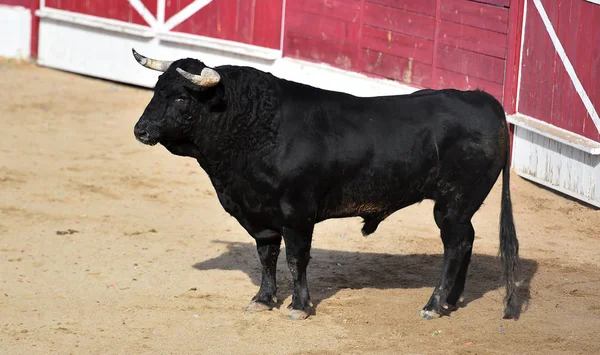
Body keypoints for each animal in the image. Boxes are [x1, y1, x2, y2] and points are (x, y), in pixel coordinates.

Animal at [131, 49, 520, 322]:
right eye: (156, 90)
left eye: (181, 97)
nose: (140, 130)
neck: (256, 127)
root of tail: (483, 99)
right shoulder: (258, 213)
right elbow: (266, 256)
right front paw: (263, 300)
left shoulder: (297, 213)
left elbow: (296, 259)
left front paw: (299, 306)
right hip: (460, 207)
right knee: (467, 241)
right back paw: (451, 301)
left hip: (453, 203)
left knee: (455, 245)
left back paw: (434, 305)